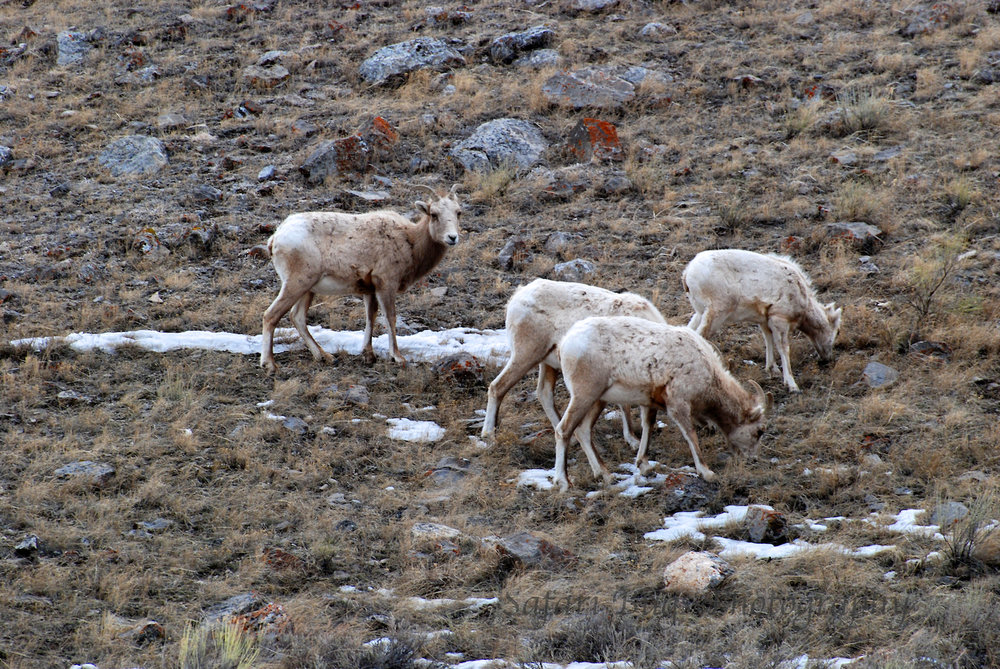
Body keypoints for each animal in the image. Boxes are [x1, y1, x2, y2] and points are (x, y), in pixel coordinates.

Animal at [258, 184, 460, 370]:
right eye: (434, 214)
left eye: (458, 212)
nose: (452, 237)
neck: (410, 240)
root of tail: (275, 238)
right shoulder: (386, 285)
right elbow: (390, 317)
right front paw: (397, 357)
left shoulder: (370, 290)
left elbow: (371, 317)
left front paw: (368, 355)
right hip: (297, 284)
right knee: (271, 315)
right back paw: (270, 364)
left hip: (307, 289)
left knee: (297, 317)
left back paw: (325, 357)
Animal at [480, 276, 668, 448]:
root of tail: (518, 297)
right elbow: (625, 406)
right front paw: (633, 441)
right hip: (525, 355)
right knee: (497, 387)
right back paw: (489, 434)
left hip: (547, 363)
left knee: (544, 393)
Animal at [552, 316, 768, 494]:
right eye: (759, 431)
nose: (753, 460)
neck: (708, 374)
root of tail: (565, 343)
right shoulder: (678, 405)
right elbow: (690, 435)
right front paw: (707, 473)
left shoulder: (650, 403)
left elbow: (648, 427)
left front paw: (645, 466)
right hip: (585, 396)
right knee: (563, 430)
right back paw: (564, 483)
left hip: (598, 400)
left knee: (583, 431)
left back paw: (606, 475)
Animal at [680, 248, 844, 394]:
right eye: (837, 332)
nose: (828, 359)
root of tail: (688, 273)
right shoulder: (779, 319)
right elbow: (783, 348)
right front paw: (792, 385)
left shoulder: (765, 321)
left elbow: (768, 340)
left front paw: (772, 370)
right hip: (716, 313)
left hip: (700, 313)